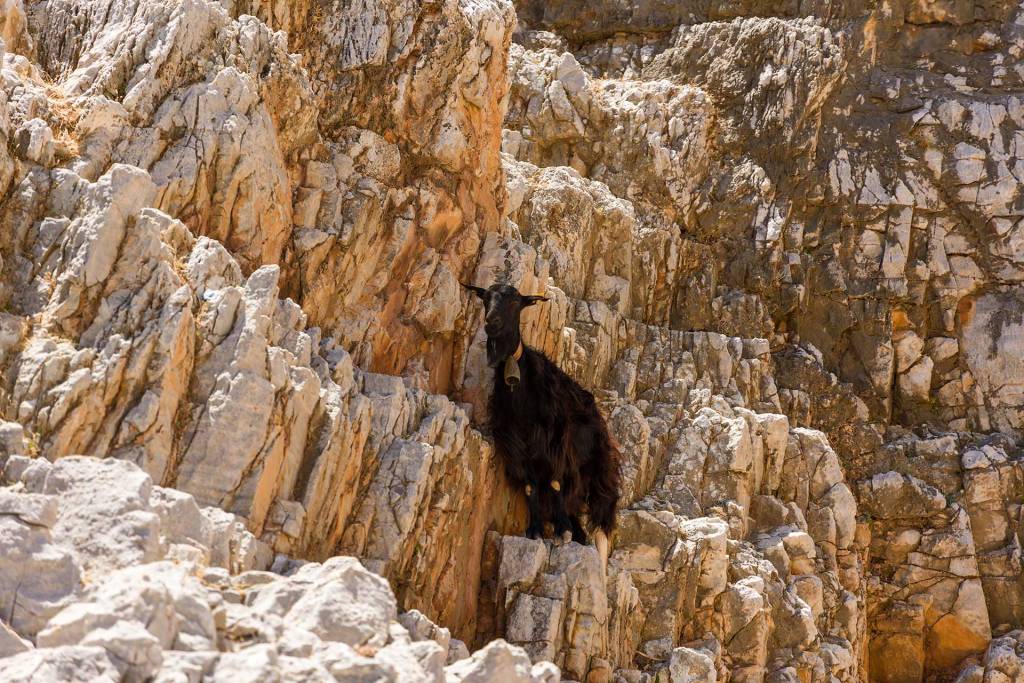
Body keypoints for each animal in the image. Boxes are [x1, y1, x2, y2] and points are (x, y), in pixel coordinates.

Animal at [463, 282, 620, 564]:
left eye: (515, 301)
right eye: (485, 298)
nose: (491, 323)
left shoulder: (554, 443)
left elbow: (554, 482)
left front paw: (560, 532)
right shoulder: (516, 447)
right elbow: (530, 487)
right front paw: (535, 530)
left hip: (598, 466)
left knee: (602, 513)